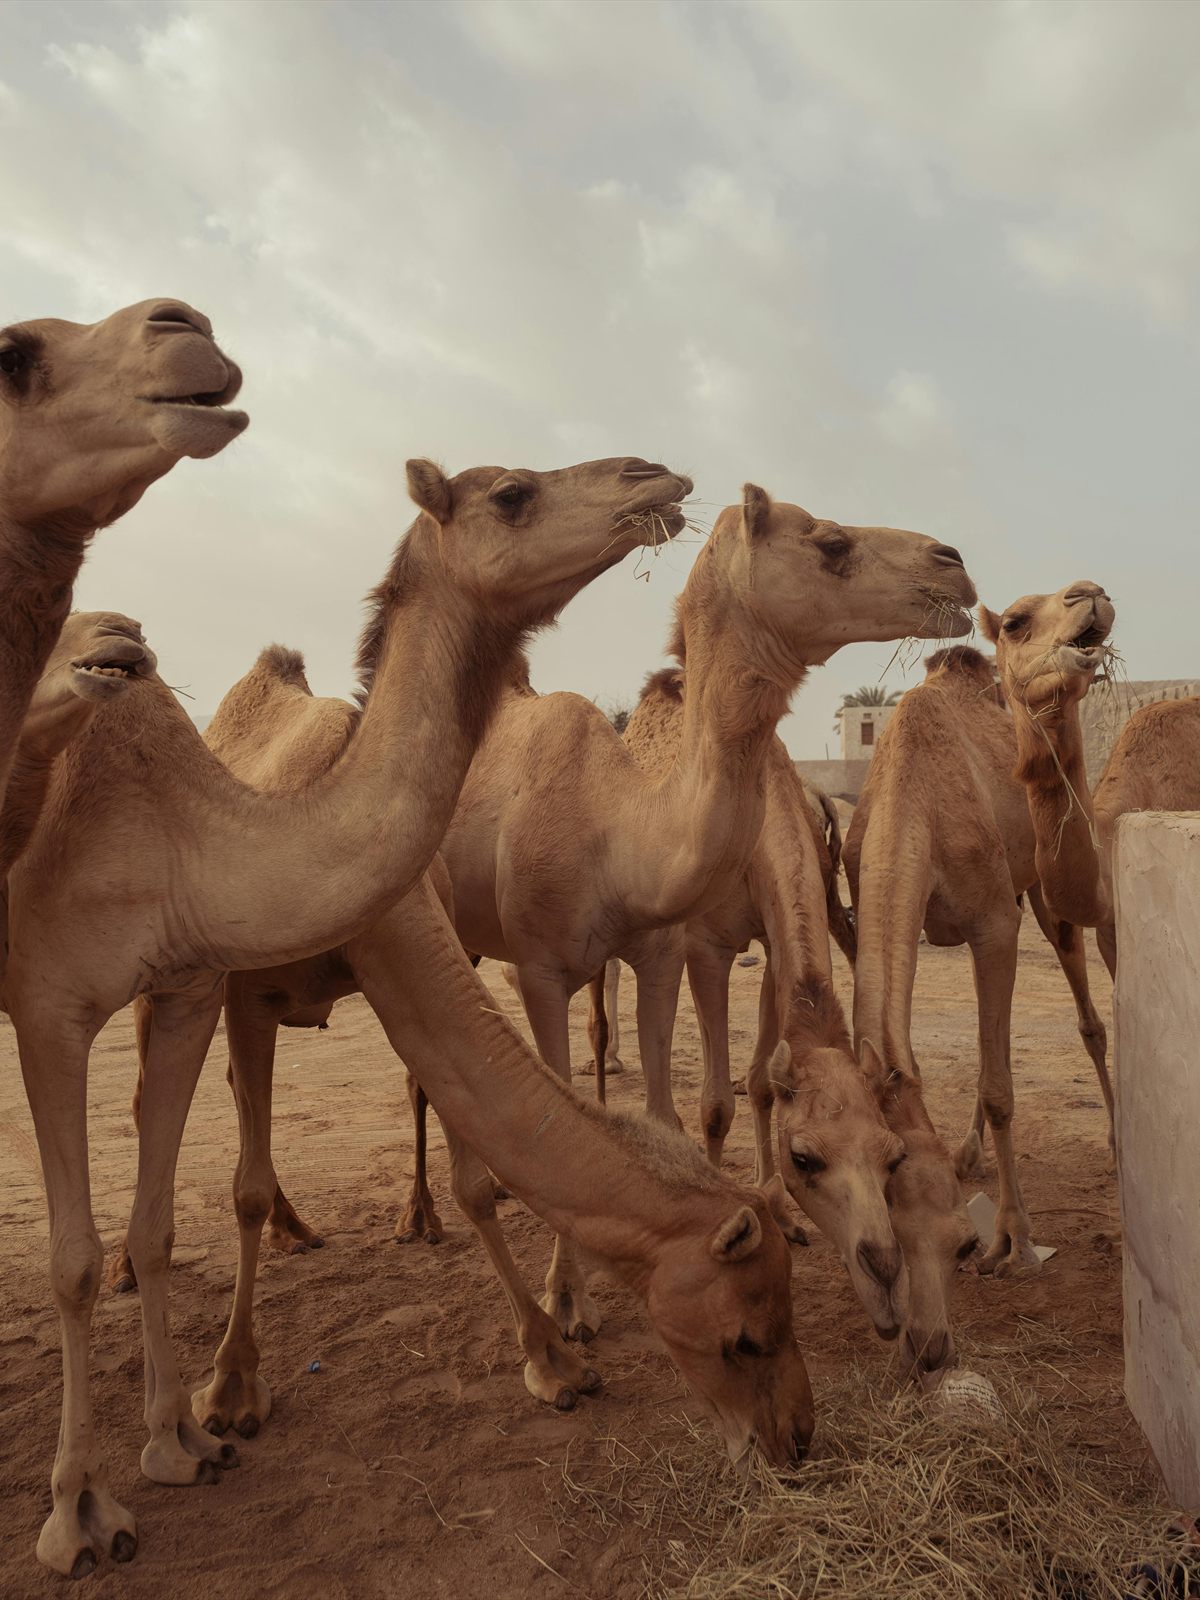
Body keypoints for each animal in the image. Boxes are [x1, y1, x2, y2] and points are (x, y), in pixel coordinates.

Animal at [4, 454, 715, 1578]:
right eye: (512, 492)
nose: (657, 475)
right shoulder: (93, 1003)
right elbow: (166, 1220)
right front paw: (112, 1484)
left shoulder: (214, 980)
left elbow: (180, 1218)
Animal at [438, 486, 975, 1341]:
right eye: (830, 543)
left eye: (891, 1156)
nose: (953, 564)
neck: (618, 831)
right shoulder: (650, 955)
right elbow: (696, 1106)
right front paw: (575, 1302)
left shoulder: (716, 947)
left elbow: (741, 1089)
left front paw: (763, 1213)